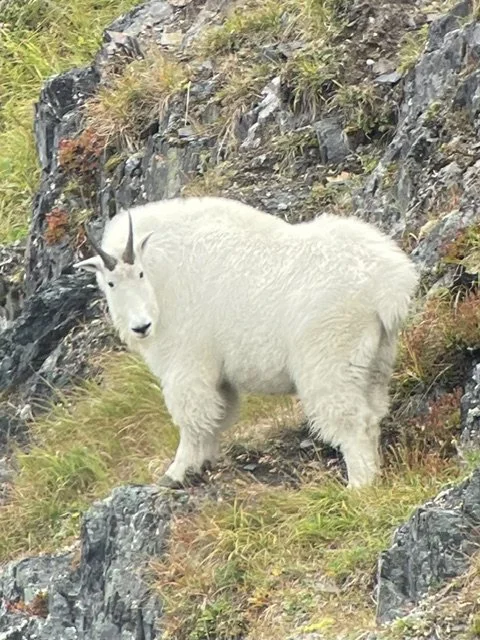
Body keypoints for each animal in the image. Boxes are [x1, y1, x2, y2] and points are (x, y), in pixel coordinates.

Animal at [74, 196, 418, 488]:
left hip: (330, 359)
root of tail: (389, 285)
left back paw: (358, 487)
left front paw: (176, 472)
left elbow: (192, 419)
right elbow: (217, 415)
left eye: (141, 274)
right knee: (373, 415)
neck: (164, 277)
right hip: (376, 359)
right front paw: (203, 463)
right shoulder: (218, 375)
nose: (141, 327)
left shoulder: (187, 363)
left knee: (352, 421)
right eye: (110, 283)